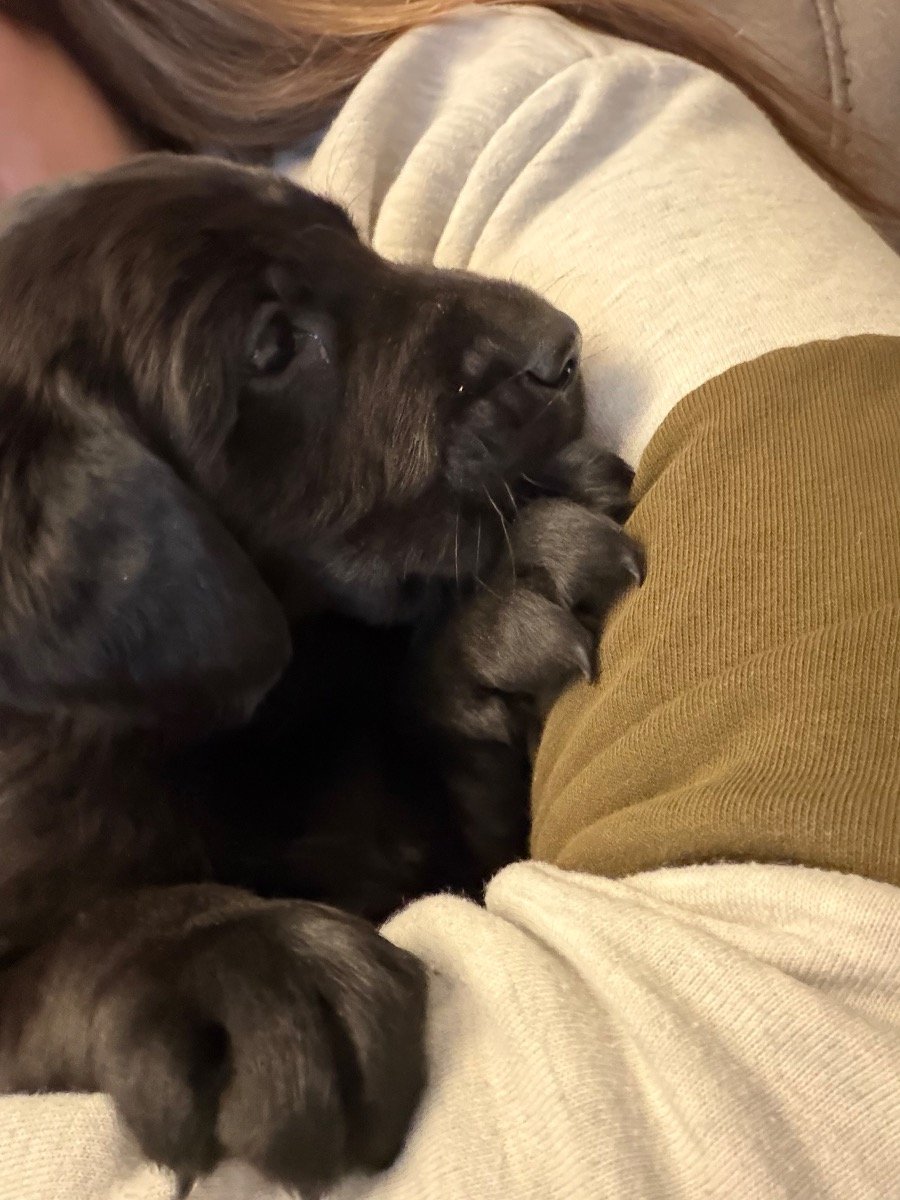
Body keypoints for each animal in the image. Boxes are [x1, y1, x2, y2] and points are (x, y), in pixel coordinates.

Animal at [0, 154, 642, 1194]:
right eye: (272, 347)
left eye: (351, 239)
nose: (560, 346)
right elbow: (64, 958)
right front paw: (226, 963)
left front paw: (496, 608)